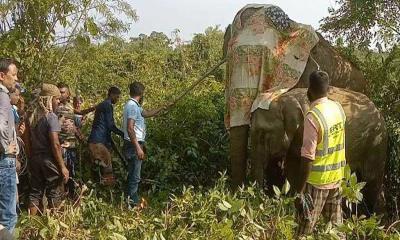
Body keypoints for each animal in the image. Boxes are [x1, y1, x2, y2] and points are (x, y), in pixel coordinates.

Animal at [252, 87, 386, 213]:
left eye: (263, 134)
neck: (283, 98)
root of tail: (378, 112)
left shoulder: (306, 130)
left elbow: (299, 168)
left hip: (375, 143)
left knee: (371, 180)